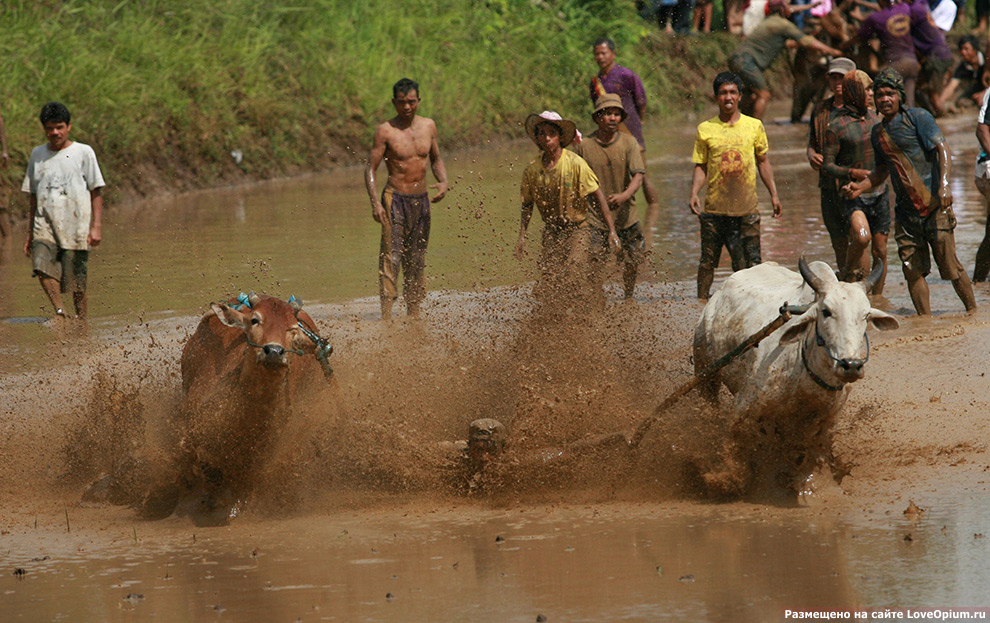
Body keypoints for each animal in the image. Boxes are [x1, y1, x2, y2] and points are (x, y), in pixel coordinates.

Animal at [696, 258, 900, 498]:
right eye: (826, 311)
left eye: (866, 315)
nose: (851, 365)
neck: (804, 371)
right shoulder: (743, 407)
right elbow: (732, 443)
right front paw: (726, 479)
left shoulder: (827, 420)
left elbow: (814, 455)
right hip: (705, 374)